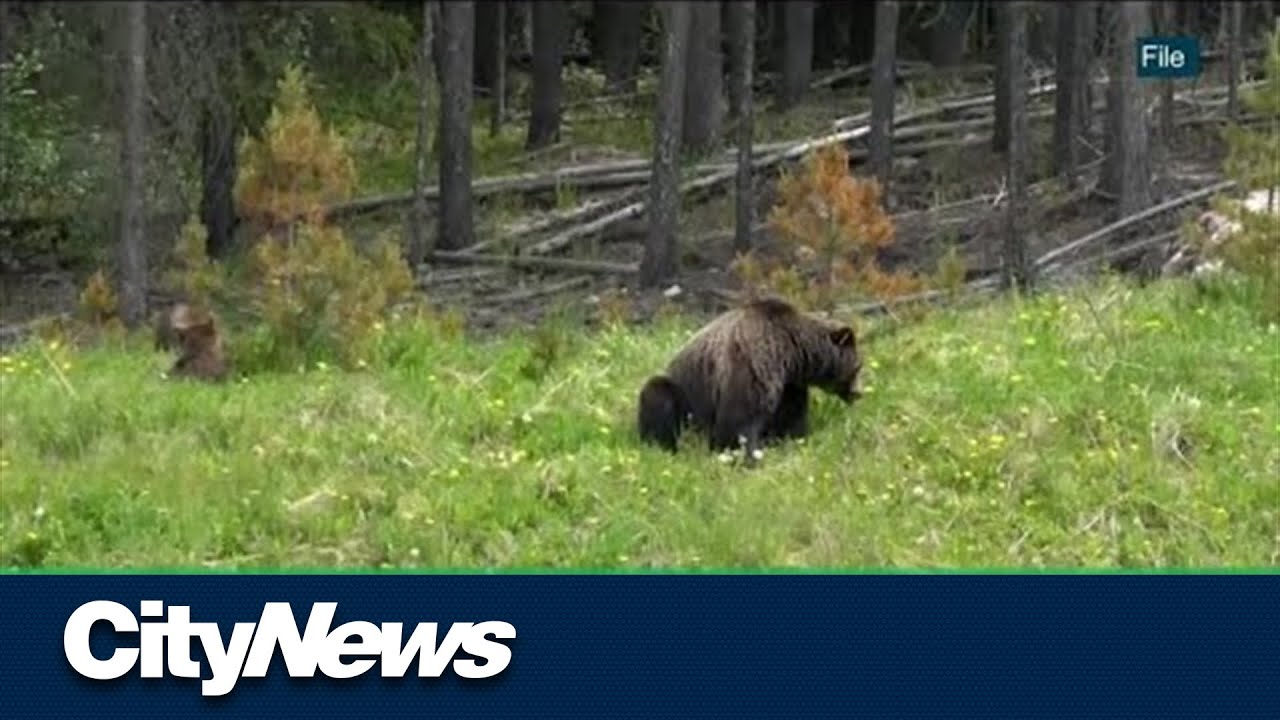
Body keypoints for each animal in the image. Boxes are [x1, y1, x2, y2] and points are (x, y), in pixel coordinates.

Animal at [637, 295, 865, 453]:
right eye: (858, 366)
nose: (859, 393)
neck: (791, 353)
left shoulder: (788, 385)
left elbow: (790, 417)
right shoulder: (752, 363)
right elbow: (739, 418)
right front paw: (745, 455)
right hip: (686, 395)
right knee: (658, 394)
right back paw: (666, 444)